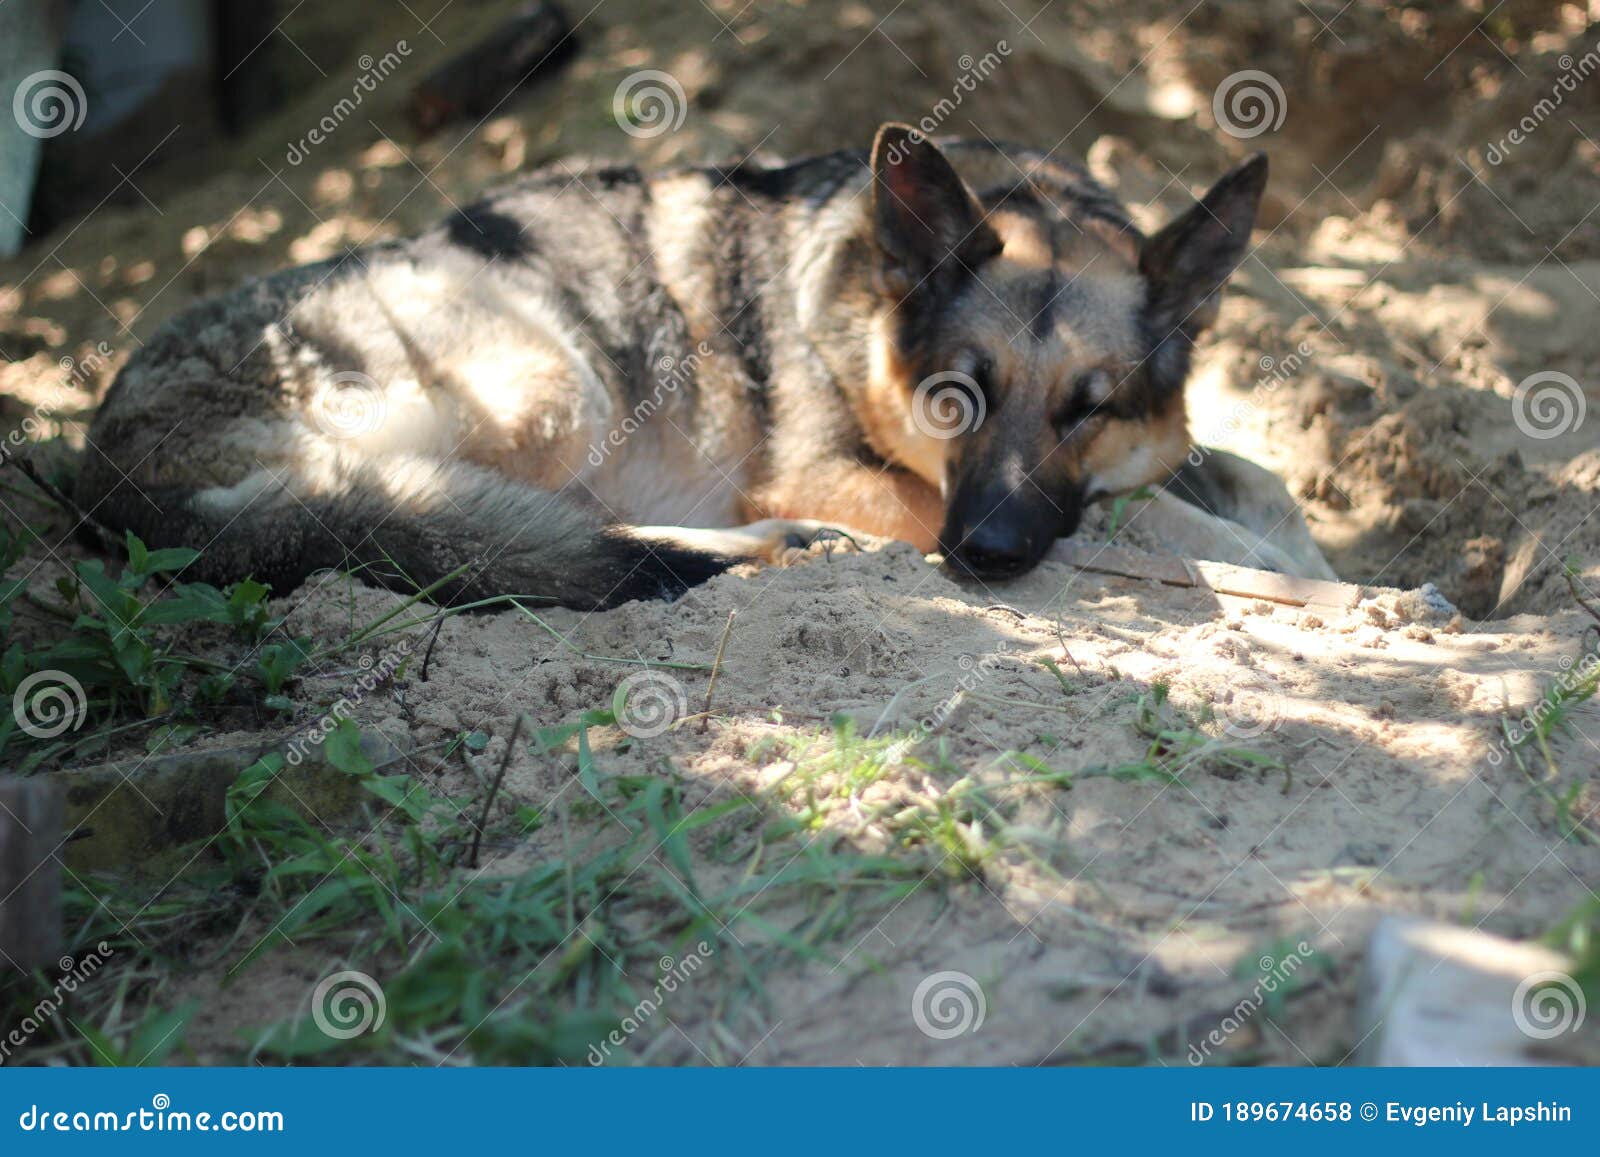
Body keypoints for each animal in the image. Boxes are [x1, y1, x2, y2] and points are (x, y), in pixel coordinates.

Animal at [78, 124, 1324, 614]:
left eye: (1091, 408)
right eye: (954, 396)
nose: (987, 555)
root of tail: (103, 464)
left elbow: (1243, 474)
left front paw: (1311, 554)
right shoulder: (859, 475)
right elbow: (1145, 521)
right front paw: (1282, 571)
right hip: (551, 380)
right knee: (524, 530)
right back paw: (765, 545)